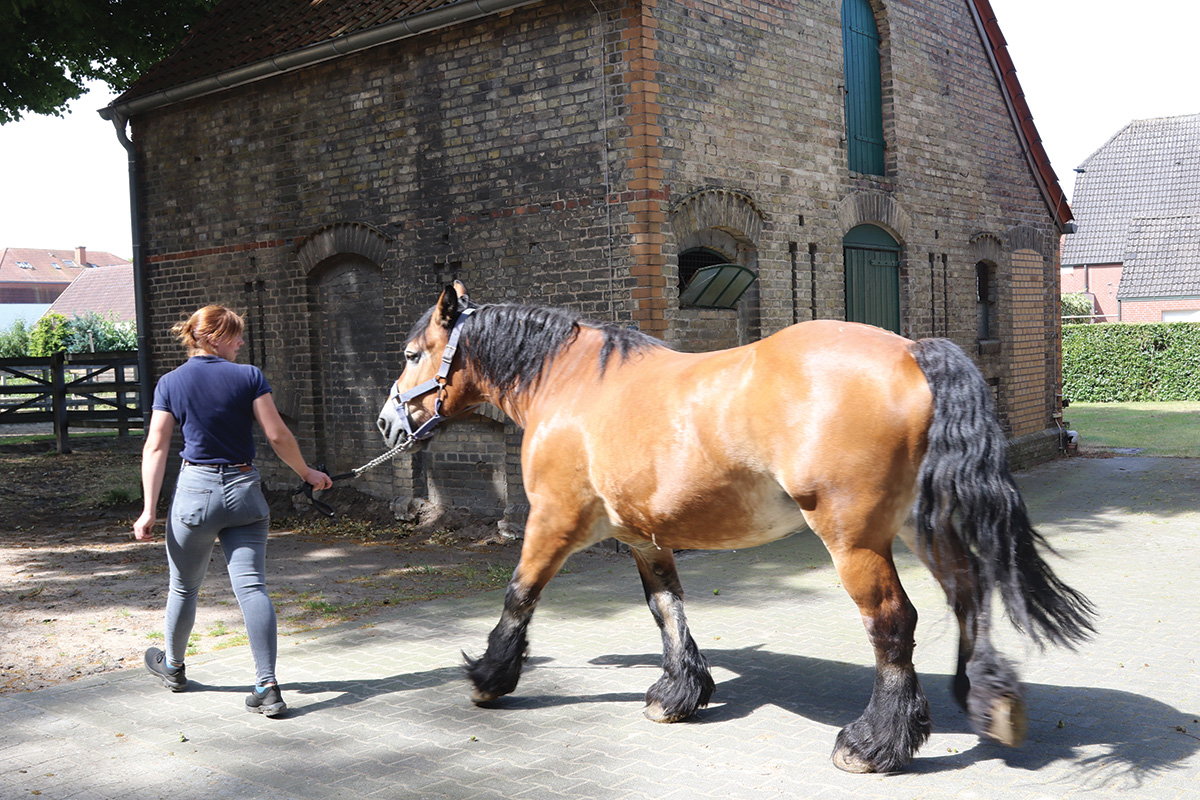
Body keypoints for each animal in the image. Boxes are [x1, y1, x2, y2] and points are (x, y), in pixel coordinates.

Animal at [377, 281, 1094, 773]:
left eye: (412, 354)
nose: (386, 423)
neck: (573, 384)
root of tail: (914, 351)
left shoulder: (554, 522)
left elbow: (519, 595)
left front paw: (489, 676)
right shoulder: (642, 536)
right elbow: (667, 608)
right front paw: (679, 691)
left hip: (853, 539)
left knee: (894, 623)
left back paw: (874, 743)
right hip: (920, 526)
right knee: (968, 594)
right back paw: (988, 701)